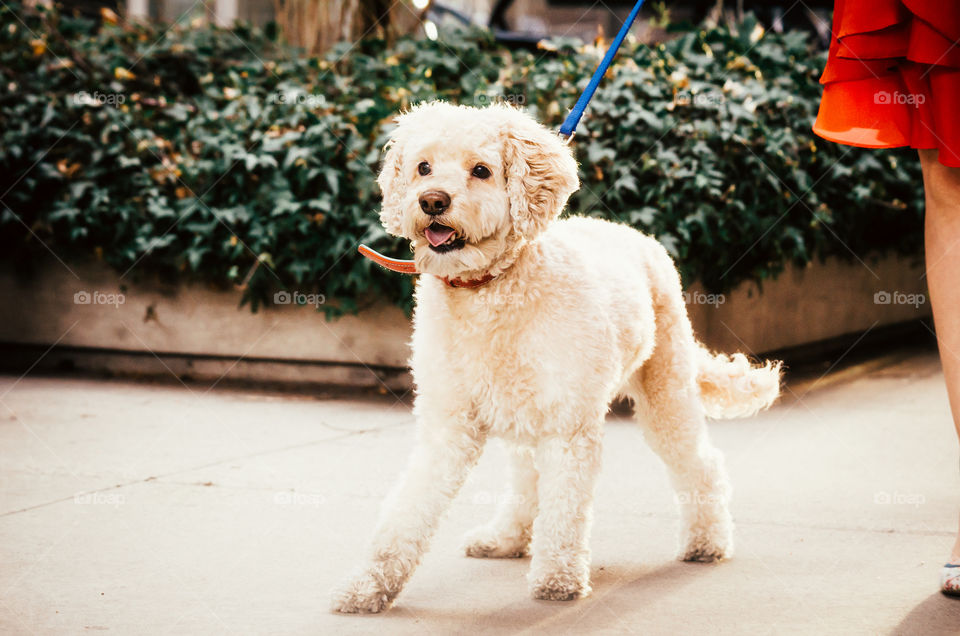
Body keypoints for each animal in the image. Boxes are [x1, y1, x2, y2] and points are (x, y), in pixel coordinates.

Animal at [330, 102, 780, 612]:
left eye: (481, 170)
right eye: (423, 167)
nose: (431, 201)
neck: (490, 291)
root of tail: (631, 232)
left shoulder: (569, 426)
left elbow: (564, 508)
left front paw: (557, 579)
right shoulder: (448, 424)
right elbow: (406, 510)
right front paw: (368, 585)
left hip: (666, 391)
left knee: (699, 463)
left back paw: (708, 542)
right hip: (523, 418)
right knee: (527, 482)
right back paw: (505, 538)